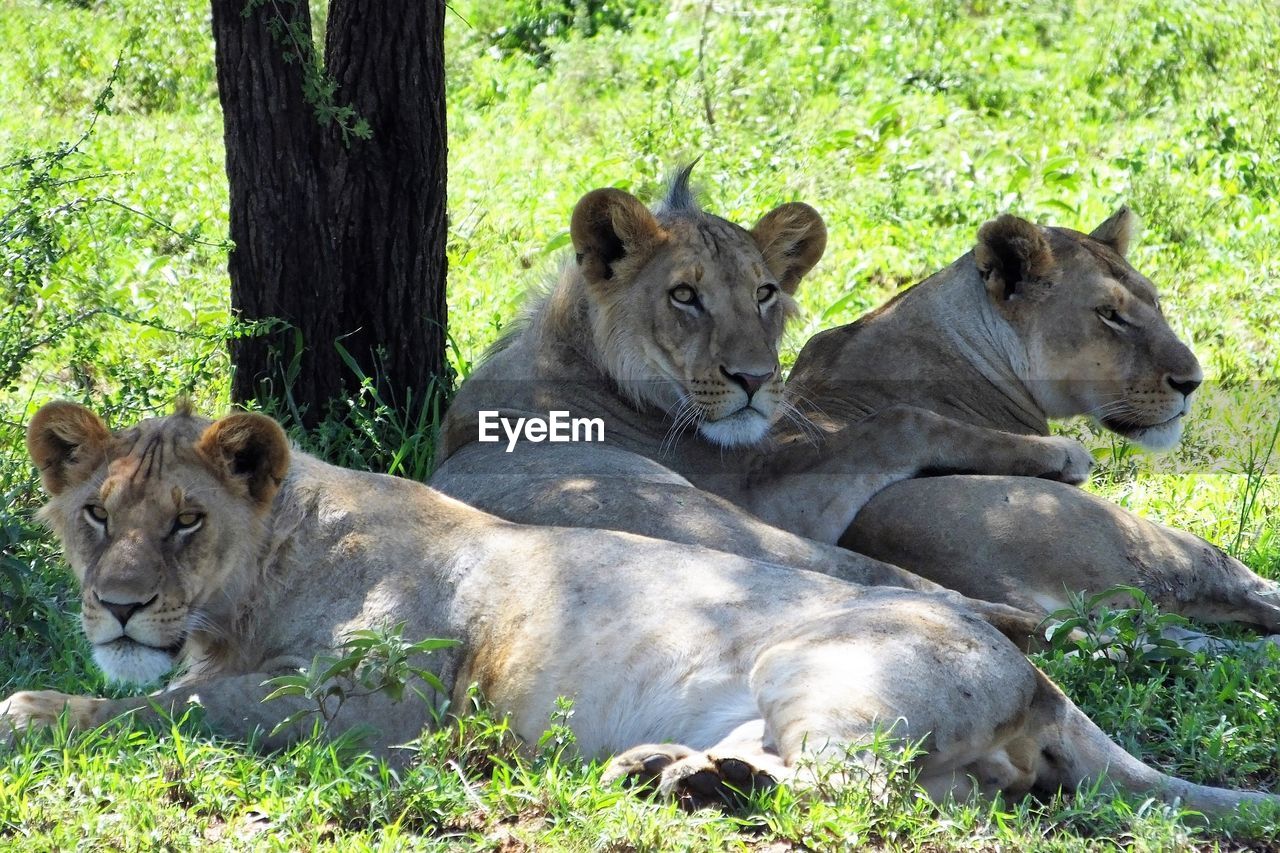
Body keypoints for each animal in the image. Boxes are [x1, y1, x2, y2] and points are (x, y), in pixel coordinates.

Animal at [0, 402, 1274, 814]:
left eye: (185, 521)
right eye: (95, 515)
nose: (118, 607)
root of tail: (1043, 682)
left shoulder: (378, 709)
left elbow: (179, 710)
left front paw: (34, 709)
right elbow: (176, 696)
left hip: (823, 671)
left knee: (876, 792)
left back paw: (700, 780)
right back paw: (666, 772)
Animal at [432, 167, 1090, 604]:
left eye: (764, 293)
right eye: (684, 295)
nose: (753, 378)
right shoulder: (761, 491)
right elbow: (902, 421)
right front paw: (1062, 453)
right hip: (729, 524)